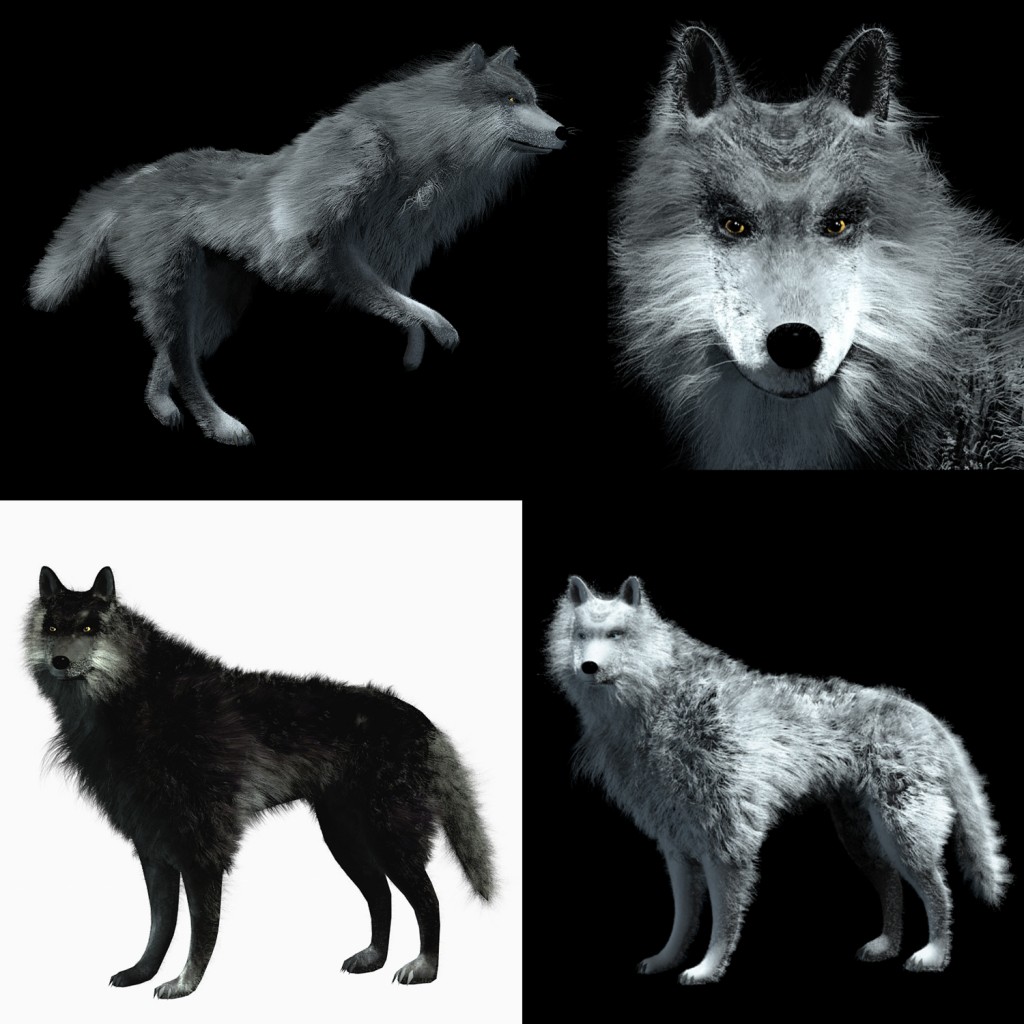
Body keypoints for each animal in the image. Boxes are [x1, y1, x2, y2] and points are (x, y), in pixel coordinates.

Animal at [24, 566, 495, 998]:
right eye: (53, 628)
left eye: (89, 627)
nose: (59, 661)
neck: (136, 694)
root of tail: (422, 720)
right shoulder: (153, 847)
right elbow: (160, 926)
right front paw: (143, 973)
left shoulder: (201, 848)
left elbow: (200, 928)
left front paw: (185, 984)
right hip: (346, 840)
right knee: (381, 897)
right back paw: (374, 957)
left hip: (389, 840)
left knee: (428, 900)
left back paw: (426, 968)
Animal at [28, 45, 566, 445]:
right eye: (511, 102)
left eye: (532, 98)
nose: (563, 130)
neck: (418, 155)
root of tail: (133, 180)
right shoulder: (324, 243)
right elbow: (403, 302)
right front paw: (438, 329)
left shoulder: (394, 251)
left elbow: (400, 299)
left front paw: (414, 348)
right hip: (179, 289)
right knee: (181, 358)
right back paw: (221, 425)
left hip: (218, 305)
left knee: (171, 358)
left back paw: (162, 407)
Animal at [547, 575, 1009, 983]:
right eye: (581, 635)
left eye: (617, 635)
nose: (587, 666)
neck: (659, 701)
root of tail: (923, 713)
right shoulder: (677, 845)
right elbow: (683, 920)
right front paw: (667, 960)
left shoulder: (728, 842)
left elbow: (723, 921)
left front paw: (708, 969)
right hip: (861, 839)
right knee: (893, 887)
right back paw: (885, 946)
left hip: (904, 836)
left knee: (940, 893)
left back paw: (934, 955)